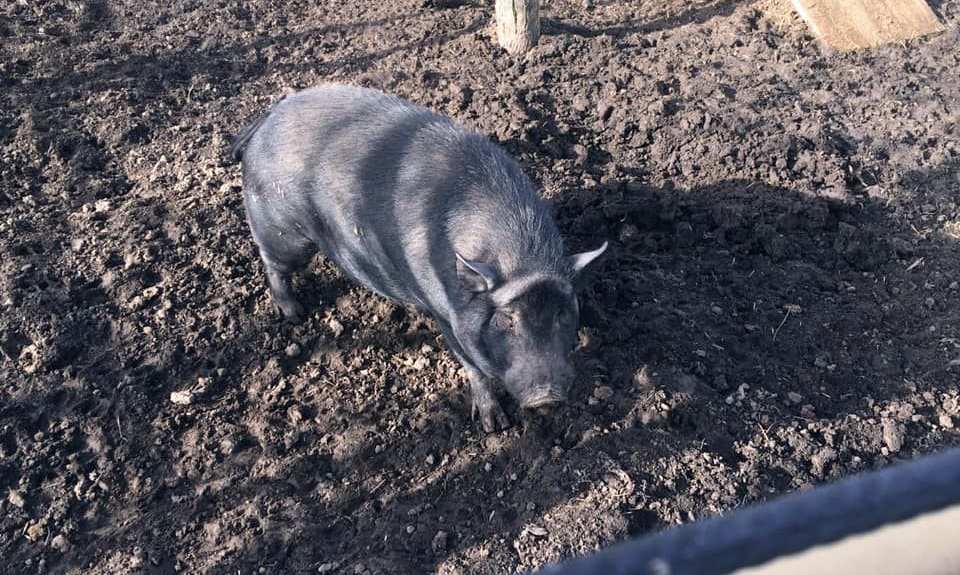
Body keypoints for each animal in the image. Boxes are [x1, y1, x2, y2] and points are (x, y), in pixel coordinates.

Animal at [230, 84, 607, 431]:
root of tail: (269, 116)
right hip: (282, 229)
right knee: (272, 262)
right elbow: (472, 366)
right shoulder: (445, 313)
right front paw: (493, 426)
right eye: (506, 320)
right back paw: (294, 313)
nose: (547, 397)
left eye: (562, 314)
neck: (520, 260)